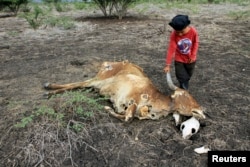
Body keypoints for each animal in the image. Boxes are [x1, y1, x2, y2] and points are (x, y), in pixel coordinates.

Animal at [44, 60, 205, 122]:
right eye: (186, 95)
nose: (202, 111)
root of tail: (109, 63)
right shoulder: (133, 101)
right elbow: (128, 117)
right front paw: (108, 108)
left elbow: (128, 116)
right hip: (99, 80)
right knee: (79, 83)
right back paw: (49, 88)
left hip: (97, 84)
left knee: (82, 86)